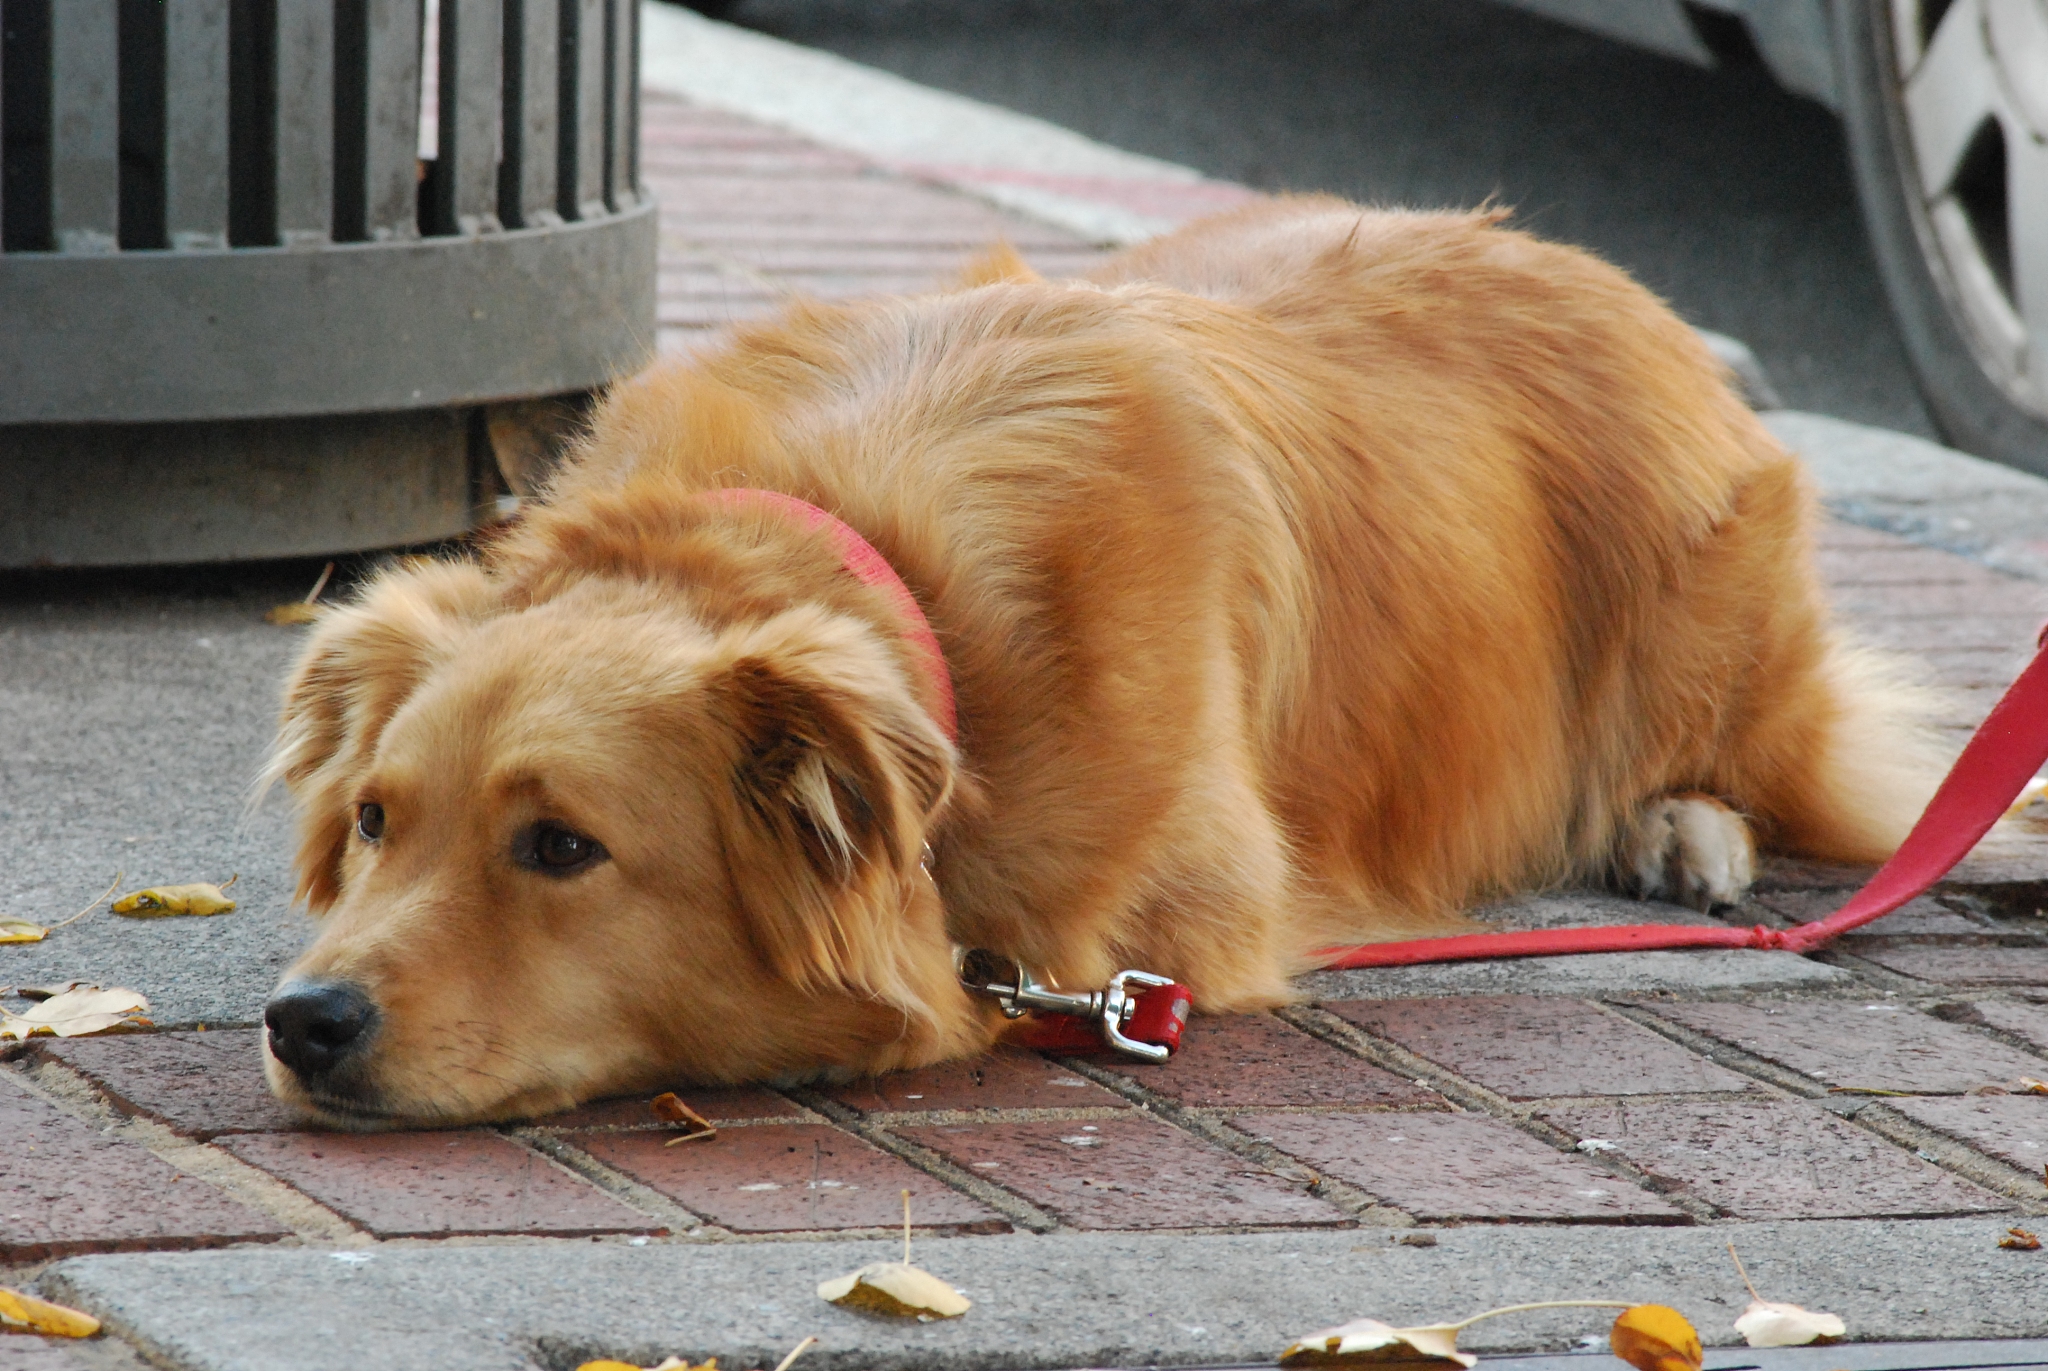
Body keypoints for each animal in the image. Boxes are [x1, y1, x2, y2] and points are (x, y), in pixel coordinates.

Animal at [264, 197, 1941, 1131]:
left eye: (561, 846)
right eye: (376, 822)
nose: (303, 1020)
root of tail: (1606, 275)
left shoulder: (1193, 912)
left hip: (1715, 635)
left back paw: (1681, 823)